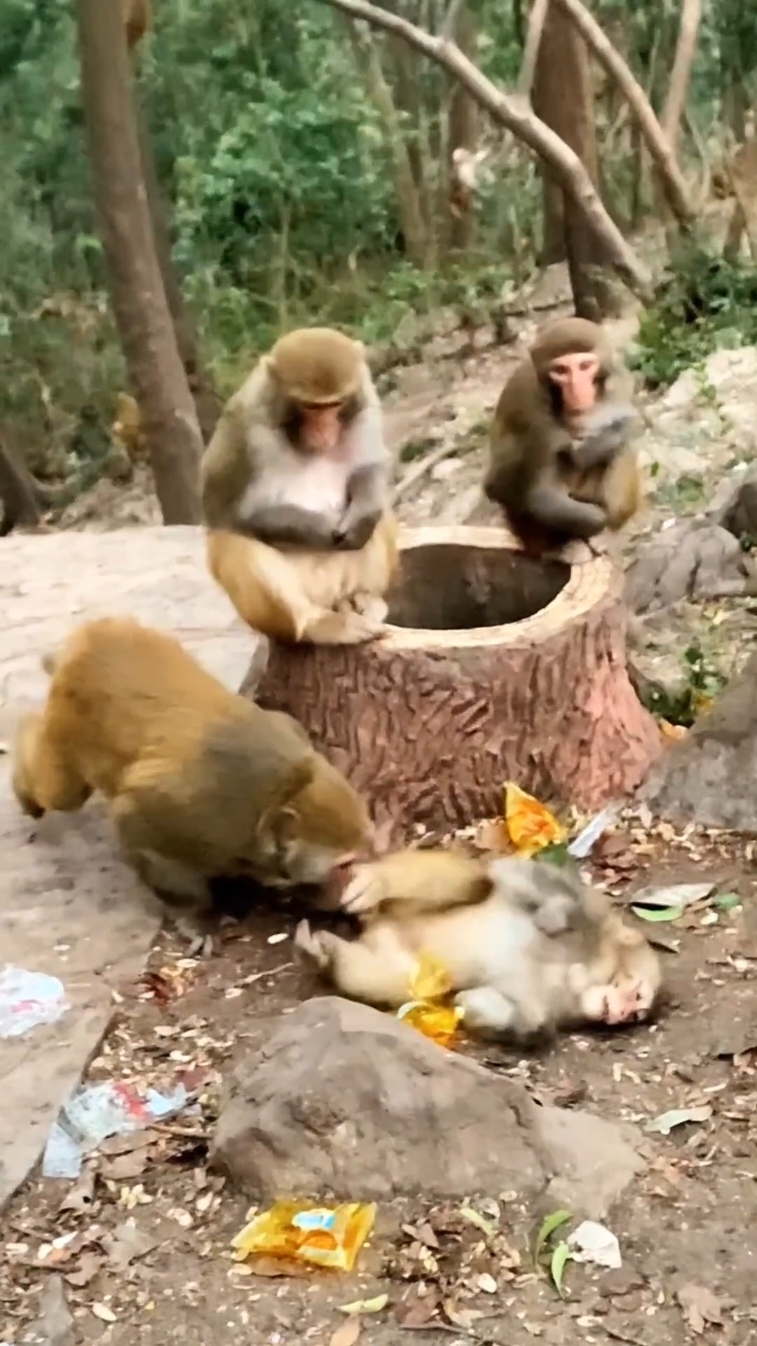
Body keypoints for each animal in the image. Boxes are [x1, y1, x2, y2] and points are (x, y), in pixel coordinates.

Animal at [12, 617, 375, 952]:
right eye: (344, 864)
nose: (350, 884)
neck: (280, 791)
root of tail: (91, 635)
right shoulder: (194, 815)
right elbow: (134, 822)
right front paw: (195, 916)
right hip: (71, 721)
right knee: (61, 793)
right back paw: (24, 768)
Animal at [201, 328, 398, 647]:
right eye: (310, 407)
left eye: (334, 405)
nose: (324, 429)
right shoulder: (244, 422)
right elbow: (225, 512)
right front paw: (318, 528)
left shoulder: (366, 403)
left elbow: (369, 467)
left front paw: (361, 516)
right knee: (231, 541)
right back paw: (316, 625)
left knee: (380, 516)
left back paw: (364, 598)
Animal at [295, 848, 662, 1041]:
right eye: (636, 995)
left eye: (636, 1014)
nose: (622, 1014)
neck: (582, 970)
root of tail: (380, 925)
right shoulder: (594, 917)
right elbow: (522, 875)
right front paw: (556, 913)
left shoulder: (556, 1003)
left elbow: (528, 1018)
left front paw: (470, 1005)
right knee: (478, 880)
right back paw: (379, 881)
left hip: (406, 960)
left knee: (395, 980)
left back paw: (326, 958)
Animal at [484, 317, 643, 558]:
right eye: (560, 370)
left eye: (585, 366)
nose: (576, 389)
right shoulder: (536, 409)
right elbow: (543, 497)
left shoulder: (619, 380)